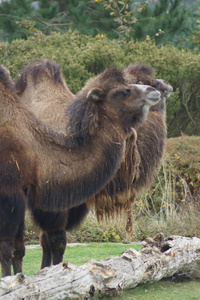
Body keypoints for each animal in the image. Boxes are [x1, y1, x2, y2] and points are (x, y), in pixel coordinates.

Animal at [0, 62, 160, 276]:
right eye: (124, 91)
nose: (153, 91)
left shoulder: (23, 191)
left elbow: (19, 250)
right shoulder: (9, 192)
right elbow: (7, 248)